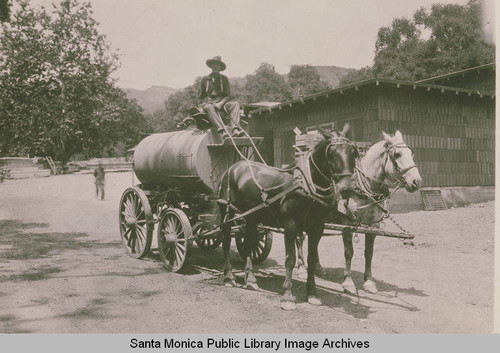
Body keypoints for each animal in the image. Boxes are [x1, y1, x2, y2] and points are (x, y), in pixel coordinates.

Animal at [219, 122, 360, 310]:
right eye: (331, 153)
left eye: (352, 152)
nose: (346, 188)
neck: (306, 185)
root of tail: (233, 168)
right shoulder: (290, 224)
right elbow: (290, 259)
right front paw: (287, 295)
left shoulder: (317, 226)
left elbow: (311, 258)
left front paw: (312, 293)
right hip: (227, 212)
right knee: (227, 241)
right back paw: (229, 277)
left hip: (252, 216)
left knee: (248, 242)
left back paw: (251, 279)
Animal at [336, 131, 422, 292]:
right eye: (397, 154)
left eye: (411, 153)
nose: (417, 182)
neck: (363, 187)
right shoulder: (347, 224)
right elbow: (348, 252)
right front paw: (348, 282)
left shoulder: (373, 224)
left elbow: (369, 253)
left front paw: (369, 281)